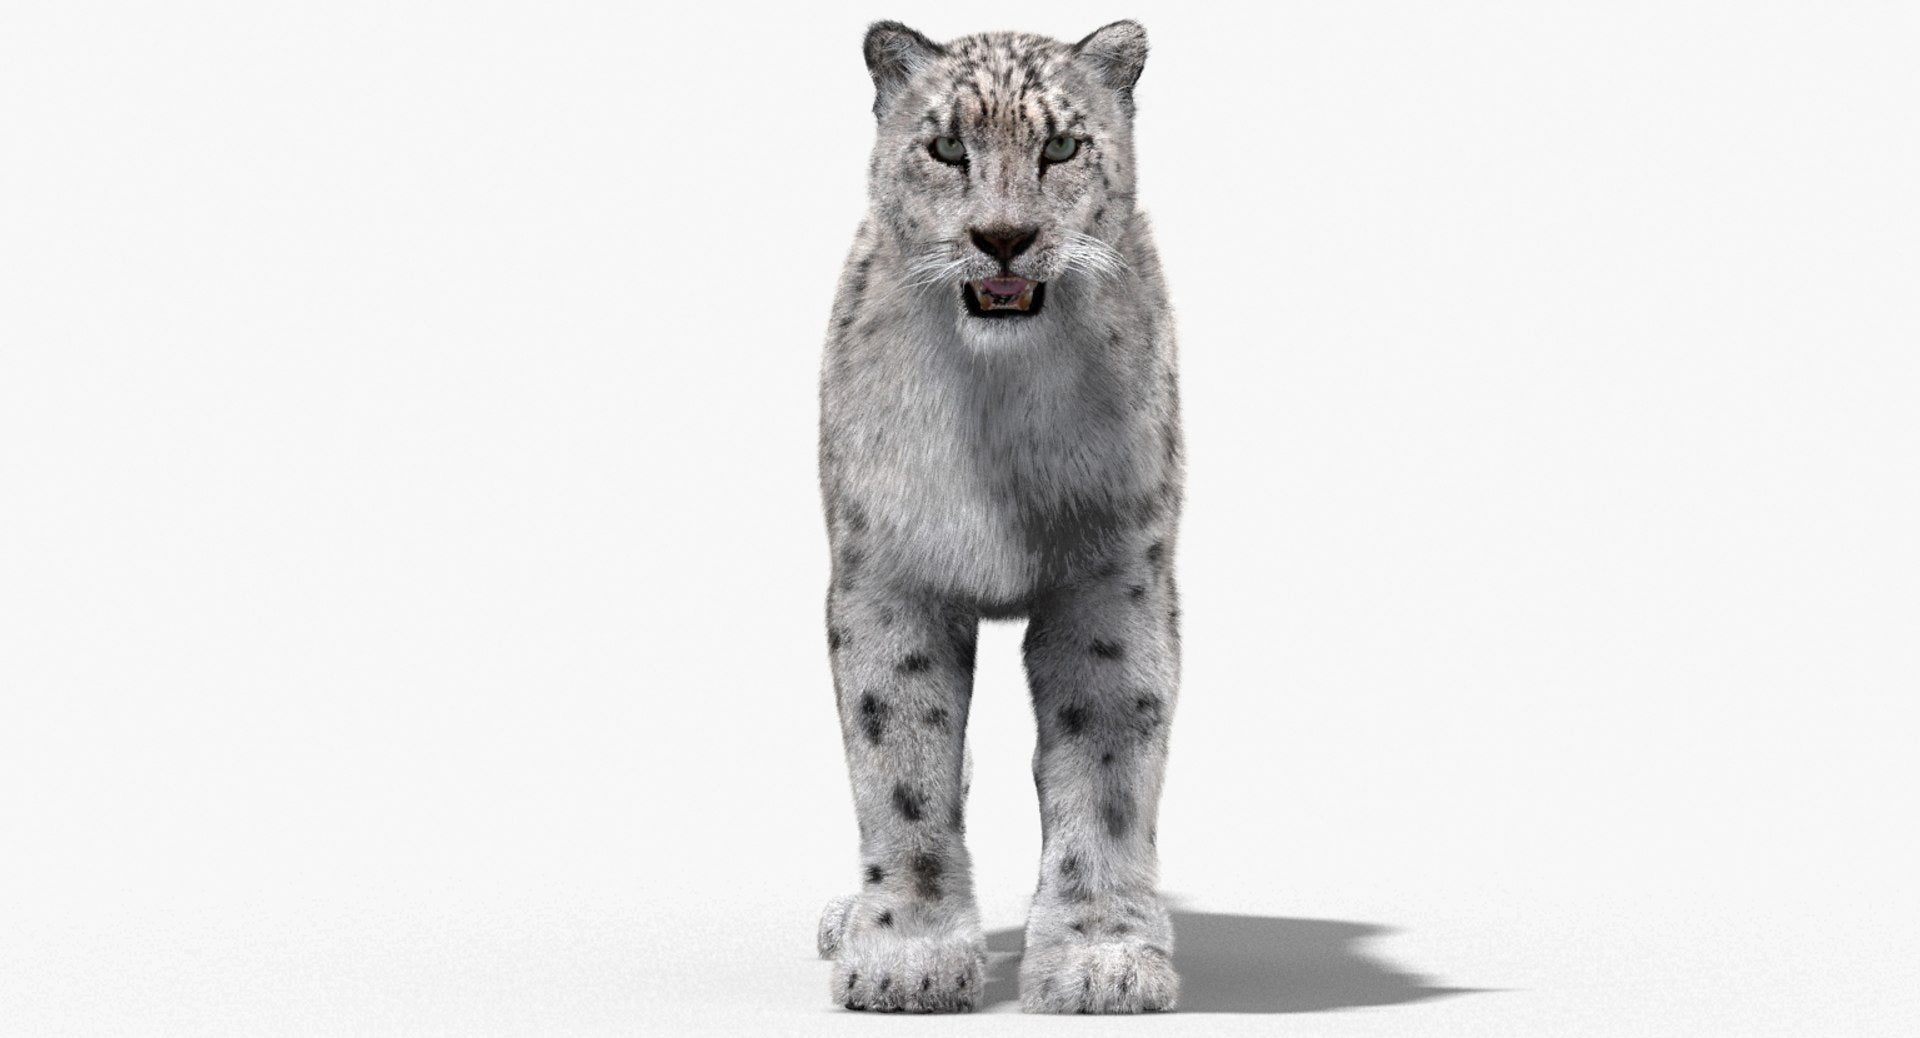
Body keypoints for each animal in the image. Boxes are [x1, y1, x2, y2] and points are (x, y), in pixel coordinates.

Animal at [813, 19, 1184, 1014]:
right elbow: (901, 762)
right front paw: (905, 954)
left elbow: (1105, 767)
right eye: (947, 146)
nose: (1005, 237)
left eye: (1060, 146)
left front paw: (1101, 957)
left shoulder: (1110, 583)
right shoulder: (890, 576)